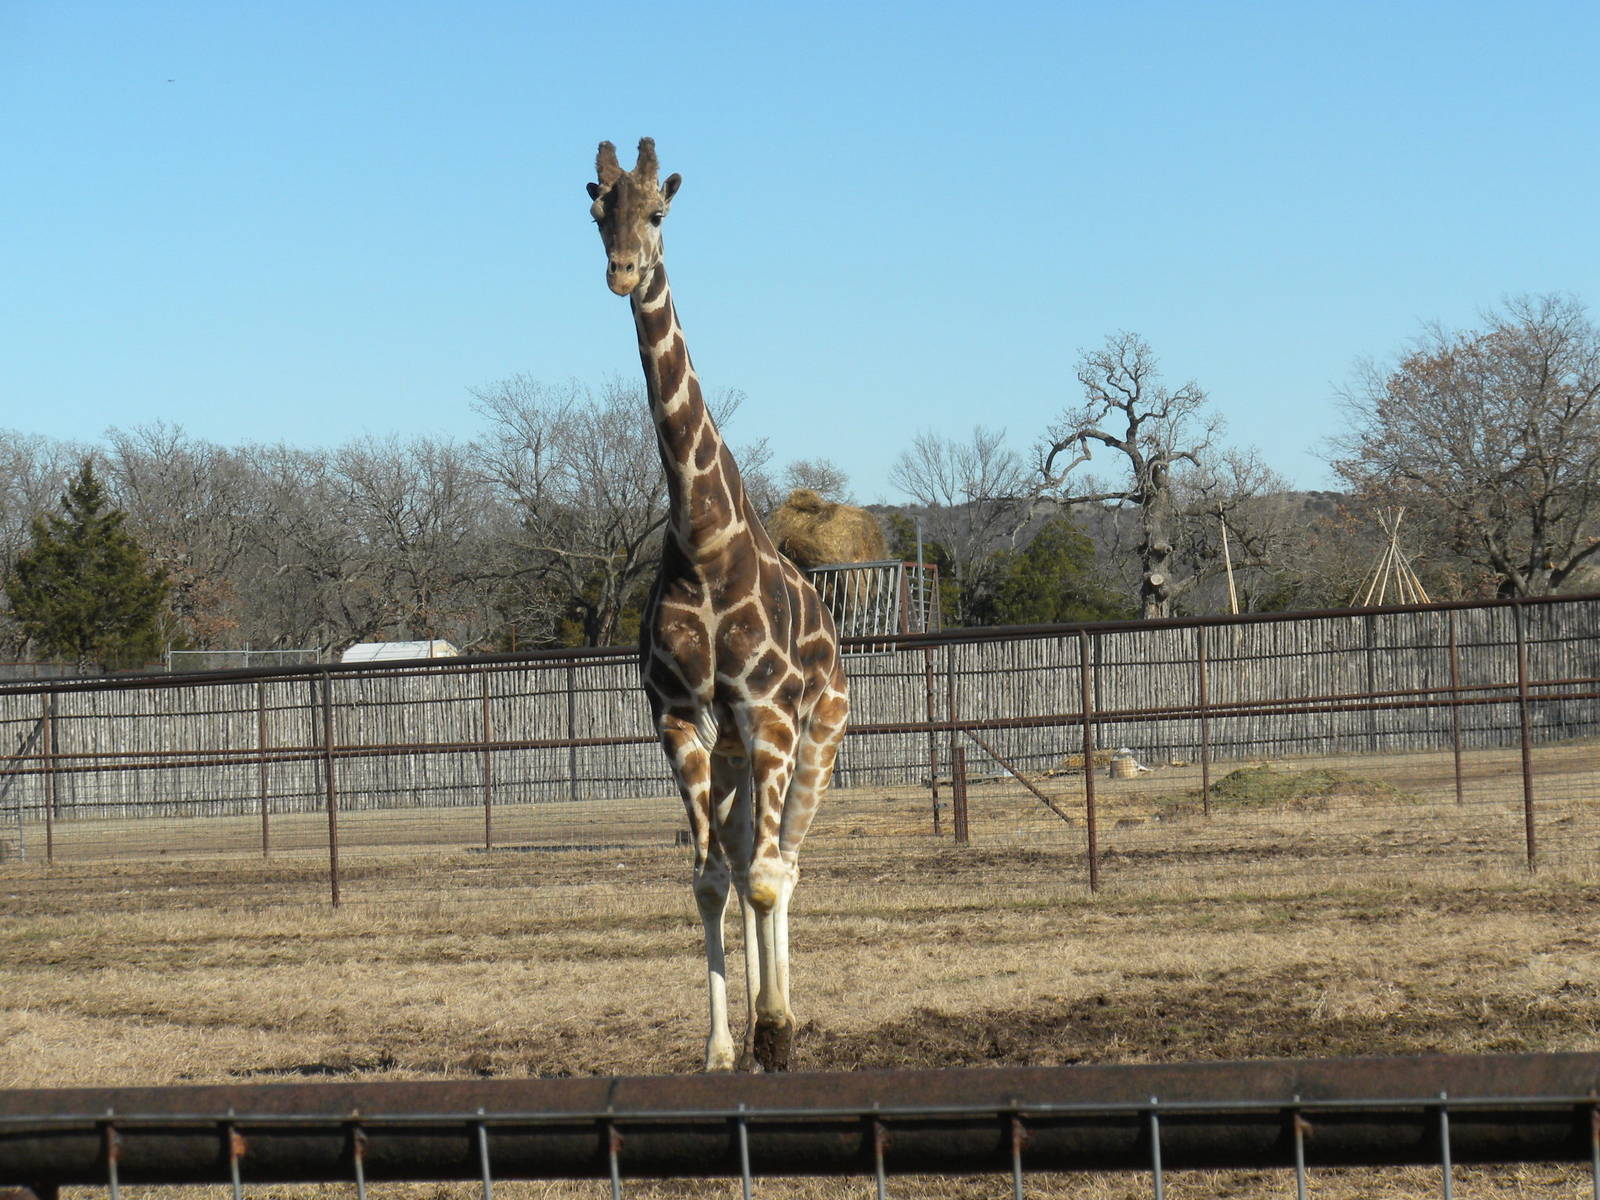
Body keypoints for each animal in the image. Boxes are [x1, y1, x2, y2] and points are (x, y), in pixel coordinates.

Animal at [585, 138, 849, 1072]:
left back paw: (790, 1015)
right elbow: (707, 880)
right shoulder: (678, 715)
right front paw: (720, 1048)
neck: (702, 543)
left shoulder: (768, 713)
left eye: (659, 212)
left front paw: (774, 1030)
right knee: (740, 861)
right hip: (734, 749)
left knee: (787, 862)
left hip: (817, 736)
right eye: (598, 209)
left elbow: (767, 876)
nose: (623, 271)